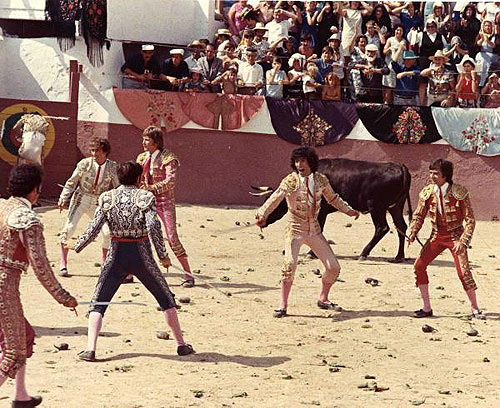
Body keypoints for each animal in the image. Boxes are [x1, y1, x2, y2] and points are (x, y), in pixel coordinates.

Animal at [252, 158, 412, 262]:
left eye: (271, 201)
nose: (259, 220)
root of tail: (400, 167)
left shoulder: (321, 210)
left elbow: (319, 229)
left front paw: (311, 253)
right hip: (396, 207)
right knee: (401, 227)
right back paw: (399, 256)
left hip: (376, 207)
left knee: (382, 228)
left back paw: (363, 254)